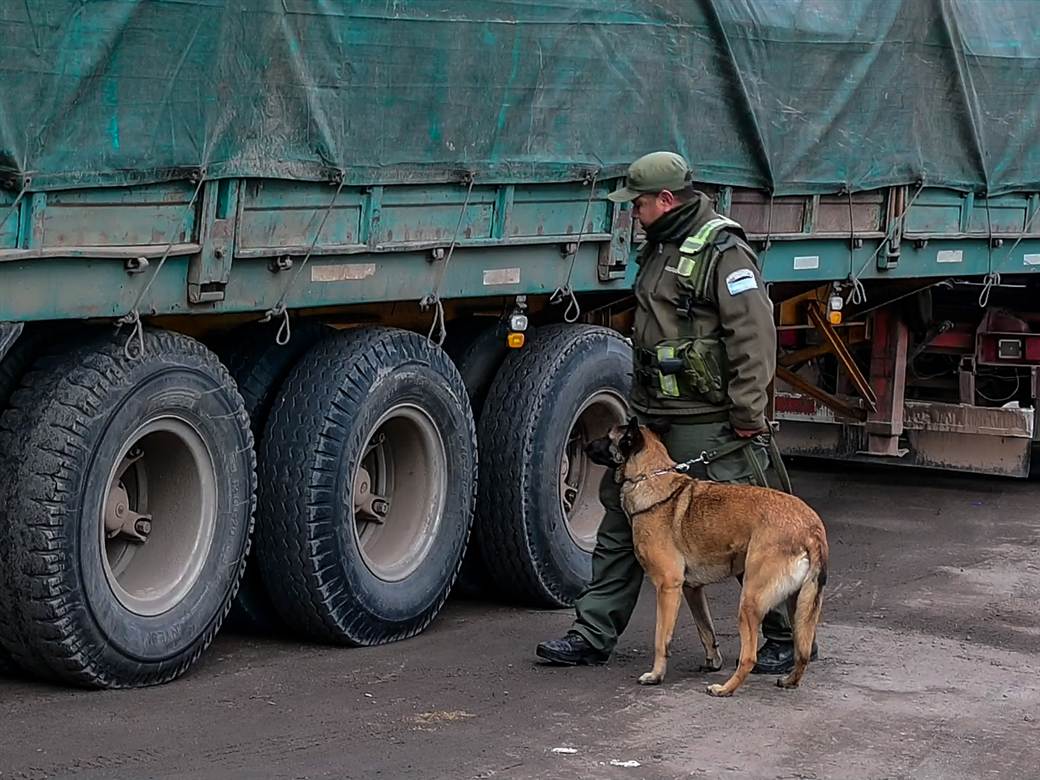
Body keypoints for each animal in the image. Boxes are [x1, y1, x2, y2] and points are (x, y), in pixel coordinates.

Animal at [586, 418, 827, 698]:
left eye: (607, 437)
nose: (585, 445)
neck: (651, 476)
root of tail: (810, 528)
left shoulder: (668, 587)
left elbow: (661, 640)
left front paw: (656, 675)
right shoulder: (691, 589)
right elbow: (706, 629)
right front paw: (712, 661)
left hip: (750, 601)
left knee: (749, 657)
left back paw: (725, 688)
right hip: (798, 603)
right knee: (803, 651)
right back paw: (789, 680)